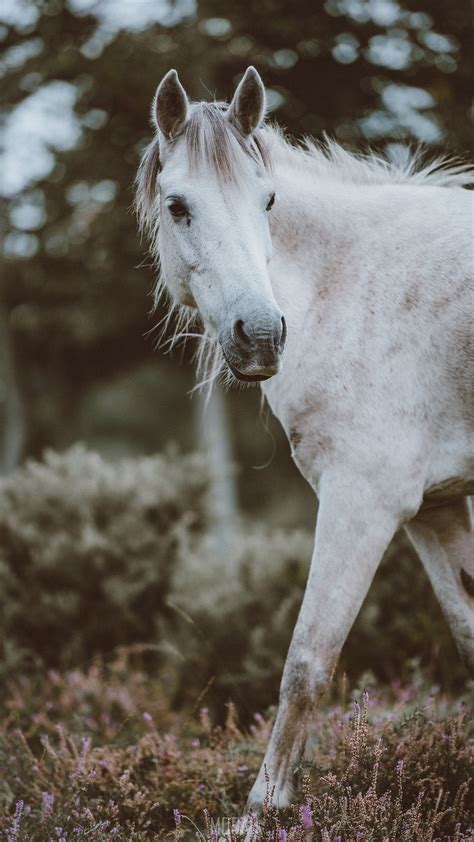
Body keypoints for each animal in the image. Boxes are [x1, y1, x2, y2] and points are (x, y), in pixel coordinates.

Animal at [135, 66, 474, 814]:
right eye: (178, 206)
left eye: (268, 200)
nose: (261, 335)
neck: (351, 285)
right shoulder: (436, 507)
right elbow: (470, 634)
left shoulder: (363, 501)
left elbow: (307, 662)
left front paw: (262, 811)